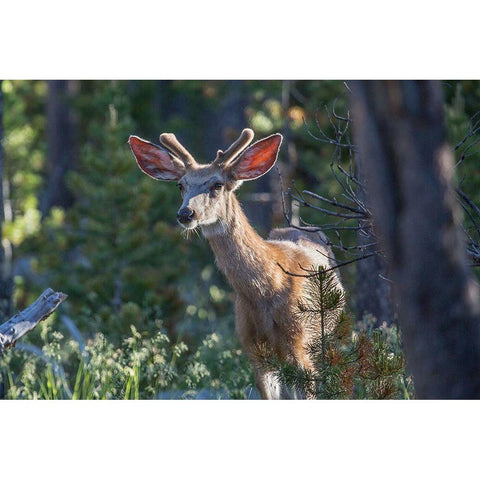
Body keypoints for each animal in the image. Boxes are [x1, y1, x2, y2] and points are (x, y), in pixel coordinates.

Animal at [129, 126, 344, 398]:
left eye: (217, 184)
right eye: (180, 185)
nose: (185, 213)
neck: (266, 290)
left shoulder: (300, 341)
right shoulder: (252, 348)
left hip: (328, 336)